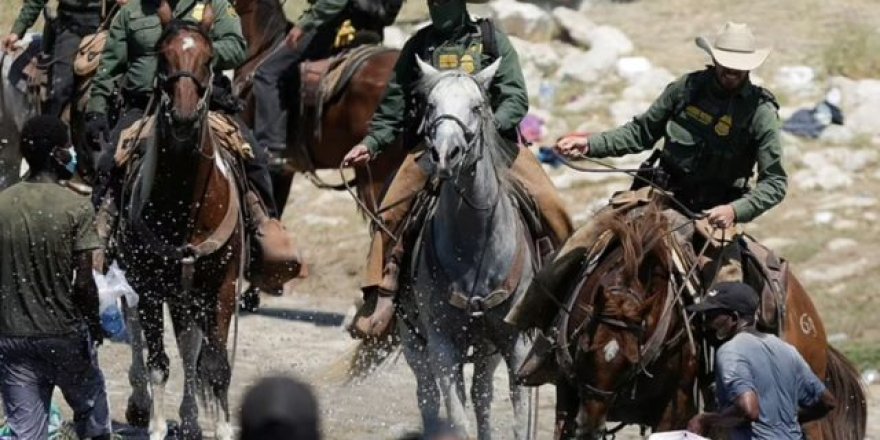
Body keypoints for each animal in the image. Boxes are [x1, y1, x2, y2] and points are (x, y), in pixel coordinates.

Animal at [116, 4, 244, 440]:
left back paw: (189, 419)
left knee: (190, 345)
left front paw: (222, 427)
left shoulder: (221, 287)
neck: (186, 205)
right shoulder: (151, 287)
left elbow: (216, 366)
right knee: (136, 330)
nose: (185, 116)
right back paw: (143, 405)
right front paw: (156, 425)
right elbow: (158, 363)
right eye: (162, 55)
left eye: (209, 58)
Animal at [398, 58, 536, 440]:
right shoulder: (442, 346)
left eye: (477, 107)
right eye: (431, 105)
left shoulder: (515, 342)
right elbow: (457, 420)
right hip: (414, 343)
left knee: (482, 396)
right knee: (428, 397)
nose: (445, 155)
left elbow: (518, 419)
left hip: (486, 350)